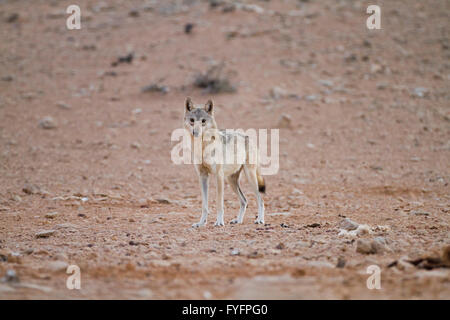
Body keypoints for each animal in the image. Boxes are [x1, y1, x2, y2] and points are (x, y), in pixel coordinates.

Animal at [183, 97, 266, 228]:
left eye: (203, 121)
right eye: (192, 120)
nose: (195, 133)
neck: (203, 147)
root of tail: (248, 136)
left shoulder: (218, 176)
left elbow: (219, 203)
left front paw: (219, 222)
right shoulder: (203, 176)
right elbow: (204, 205)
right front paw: (201, 223)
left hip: (250, 178)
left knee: (260, 200)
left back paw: (260, 220)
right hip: (231, 181)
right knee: (244, 201)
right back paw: (238, 220)